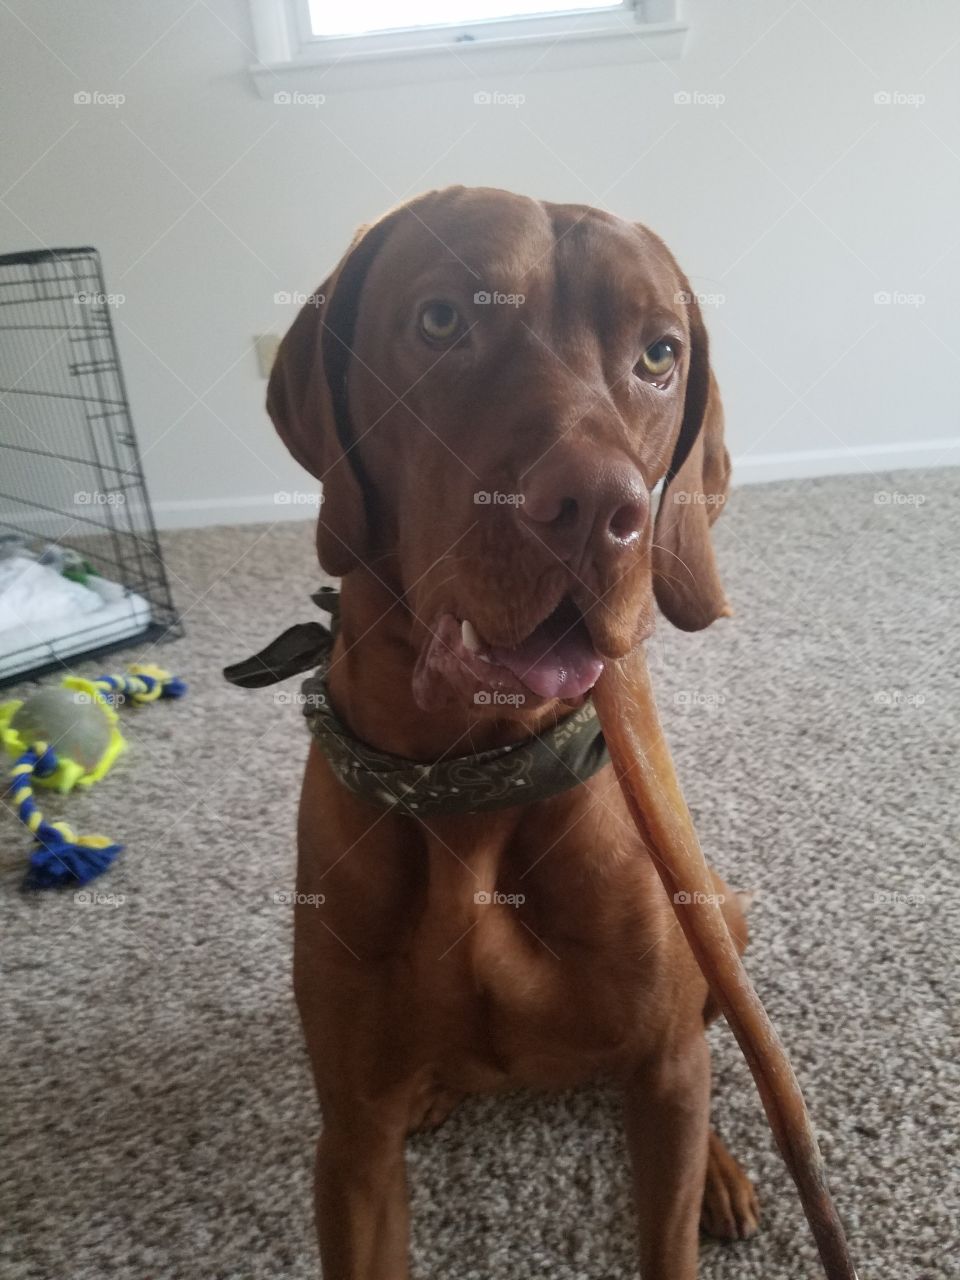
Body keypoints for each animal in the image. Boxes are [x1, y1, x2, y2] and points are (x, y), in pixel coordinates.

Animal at [267, 185, 757, 1274]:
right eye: (442, 320)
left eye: (658, 354)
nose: (600, 509)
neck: (473, 783)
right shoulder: (351, 1139)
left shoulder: (664, 1066)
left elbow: (671, 1172)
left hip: (724, 924)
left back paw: (723, 1169)